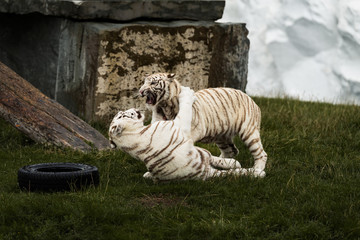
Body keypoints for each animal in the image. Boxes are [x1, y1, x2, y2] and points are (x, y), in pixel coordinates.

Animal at [108, 86, 248, 182]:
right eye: (123, 114)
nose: (134, 109)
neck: (134, 133)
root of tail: (206, 172)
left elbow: (157, 114)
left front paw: (156, 104)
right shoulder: (178, 125)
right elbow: (185, 108)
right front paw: (187, 93)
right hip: (203, 154)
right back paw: (248, 169)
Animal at [139, 72, 268, 177]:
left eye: (153, 83)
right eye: (144, 82)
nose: (140, 91)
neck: (165, 107)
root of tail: (250, 98)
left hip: (248, 132)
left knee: (261, 153)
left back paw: (257, 170)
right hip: (222, 136)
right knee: (232, 151)